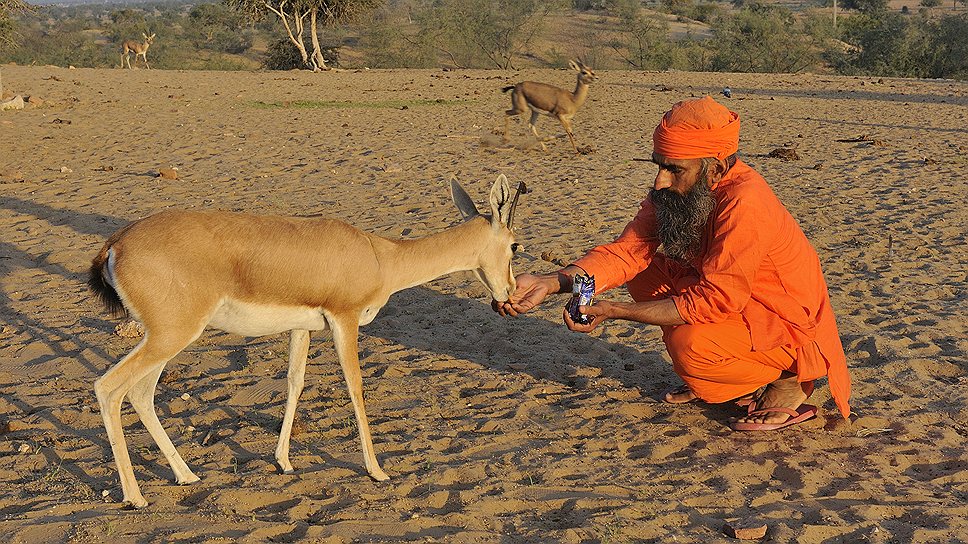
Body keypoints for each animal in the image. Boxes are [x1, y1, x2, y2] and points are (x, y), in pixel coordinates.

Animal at [88, 175, 524, 510]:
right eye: (515, 245)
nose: (510, 291)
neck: (381, 257)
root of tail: (115, 243)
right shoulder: (345, 320)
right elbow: (355, 387)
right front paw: (377, 470)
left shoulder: (304, 328)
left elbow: (294, 383)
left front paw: (283, 462)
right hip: (171, 336)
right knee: (109, 388)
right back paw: (135, 497)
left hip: (168, 338)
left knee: (140, 393)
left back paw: (186, 475)